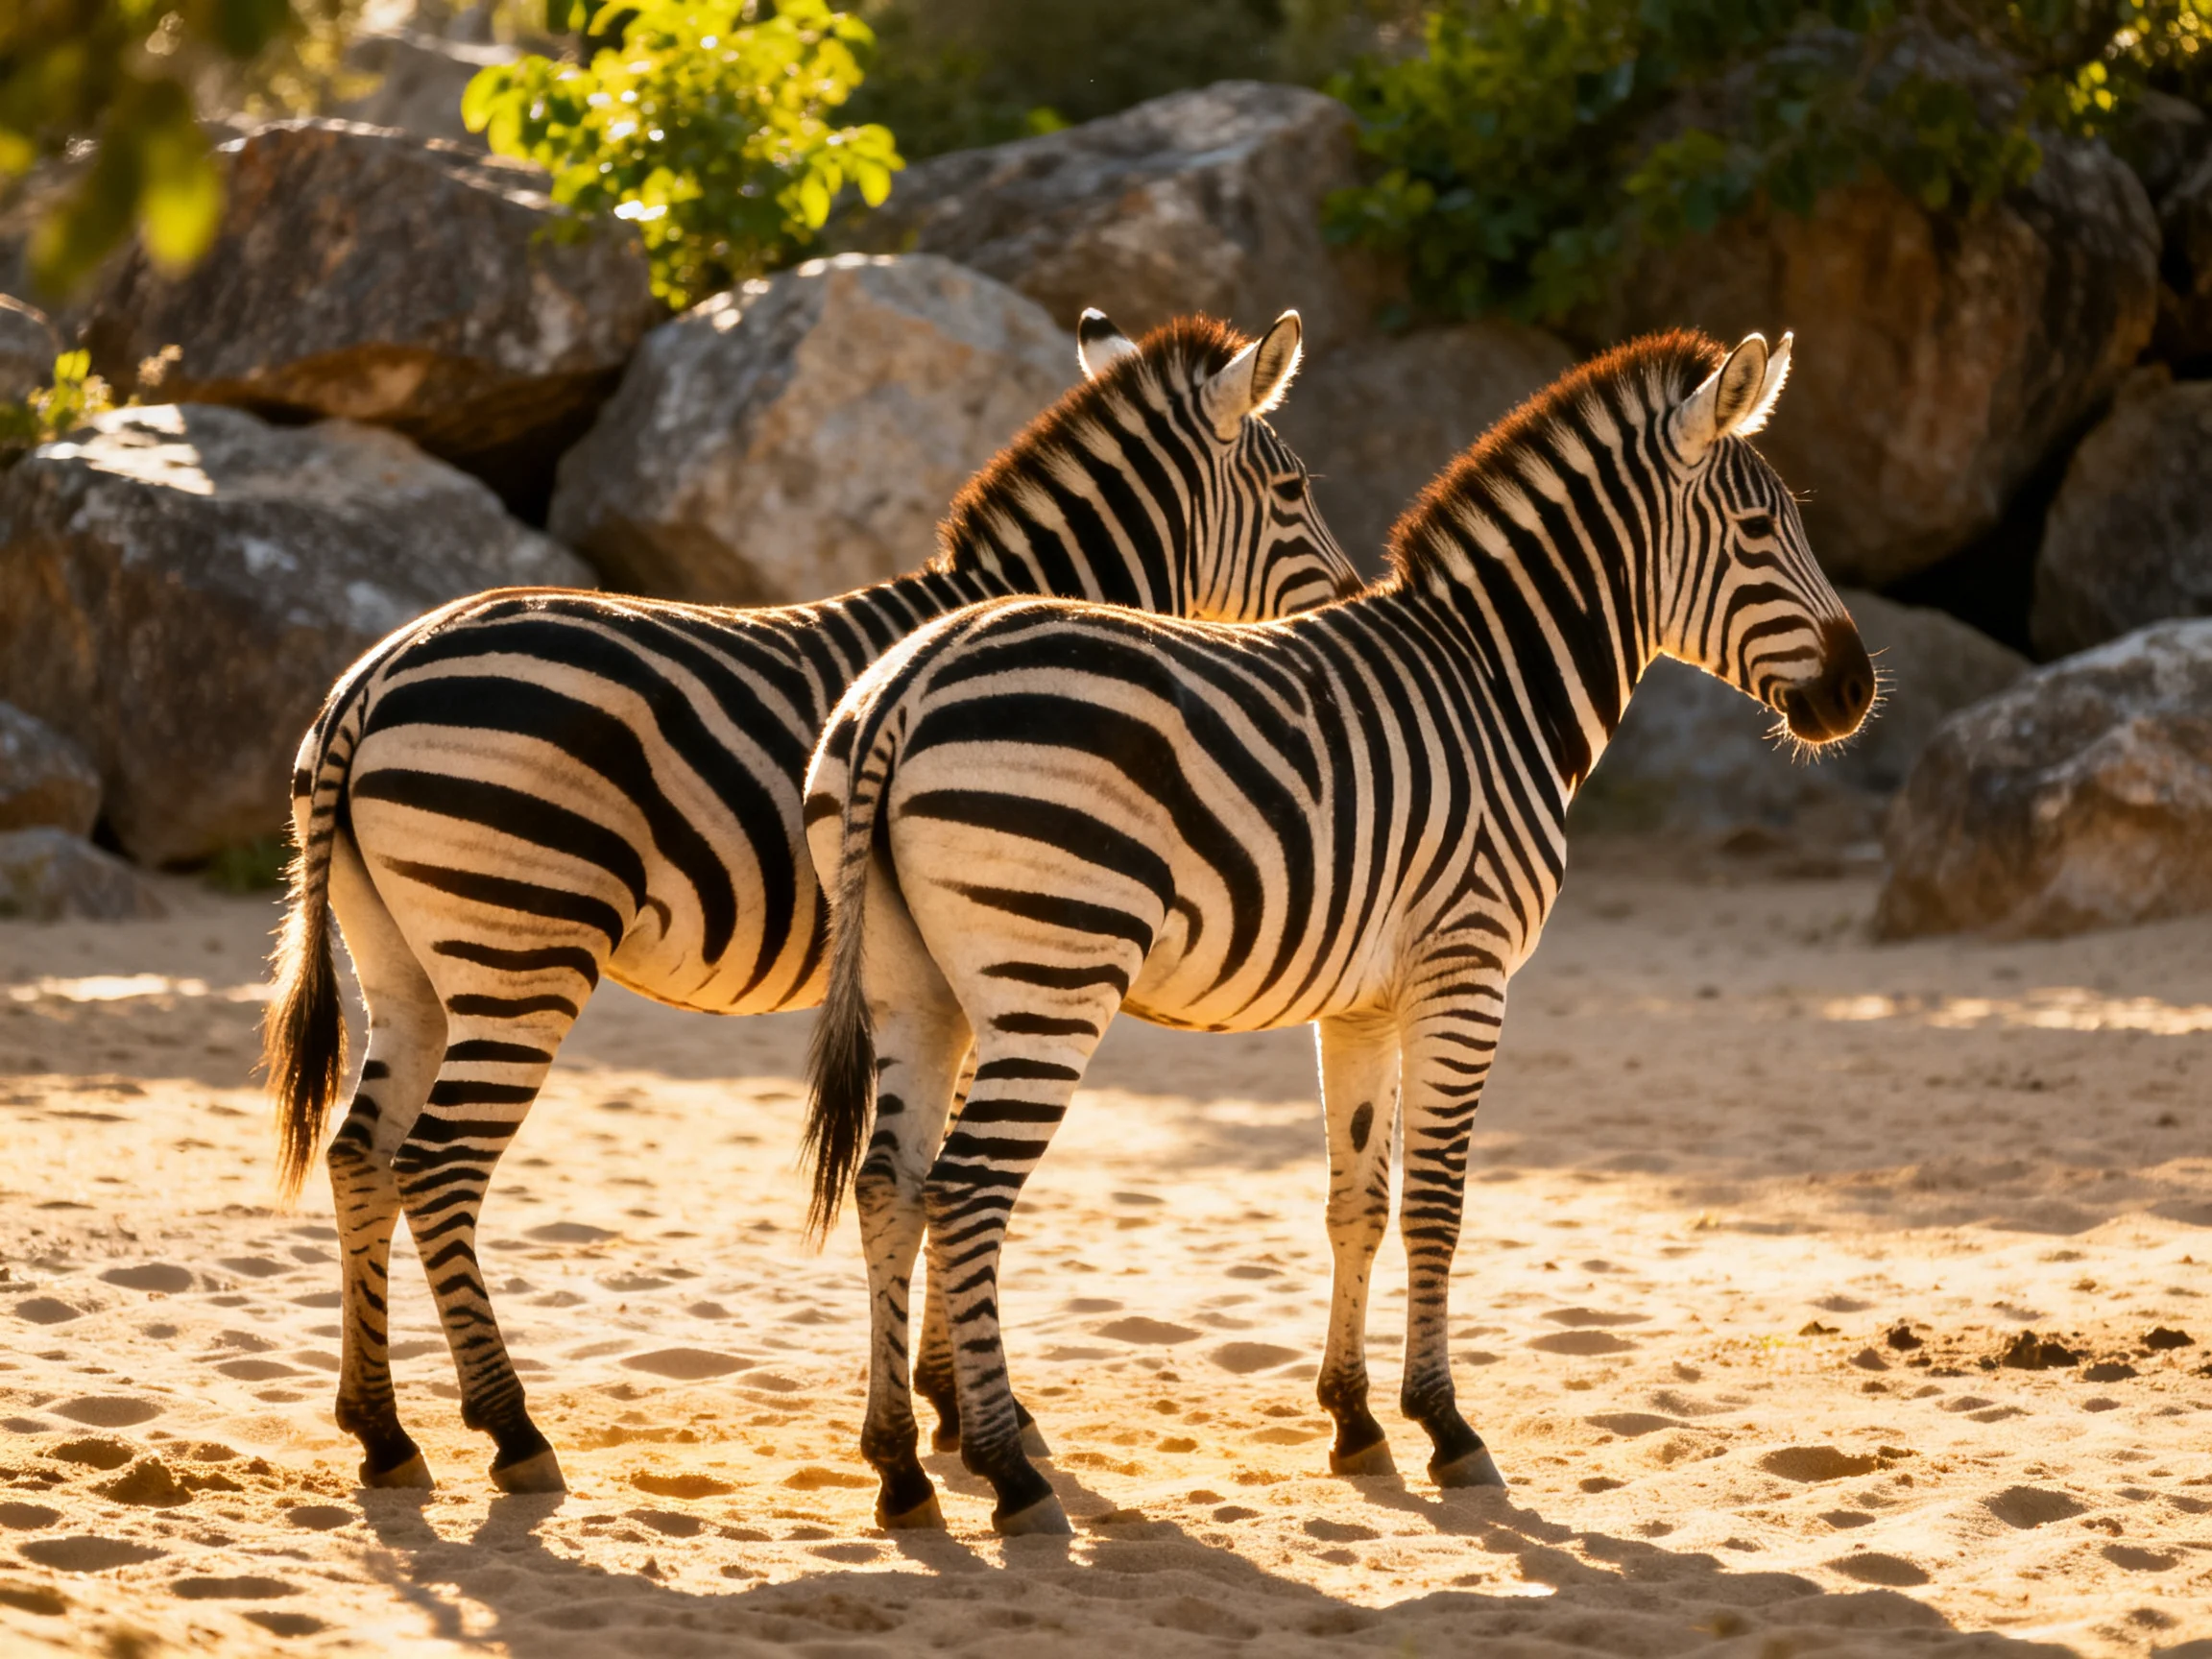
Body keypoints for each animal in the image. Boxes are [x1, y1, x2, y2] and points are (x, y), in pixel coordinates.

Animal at [260, 308, 1357, 1497]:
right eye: (1295, 488)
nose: (1353, 613)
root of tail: (374, 677)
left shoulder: (949, 972)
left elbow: (922, 1170)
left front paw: (943, 1406)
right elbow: (940, 1175)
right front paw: (971, 1414)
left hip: (402, 959)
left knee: (360, 1154)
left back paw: (381, 1429)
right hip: (523, 946)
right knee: (436, 1163)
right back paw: (511, 1428)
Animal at [801, 328, 1877, 1535]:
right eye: (1759, 530)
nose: (1857, 690)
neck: (1498, 685)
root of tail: (907, 681)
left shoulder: (1361, 1002)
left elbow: (1355, 1201)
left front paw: (1356, 1421)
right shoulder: (1467, 971)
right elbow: (1437, 1207)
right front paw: (1447, 1427)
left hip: (915, 987)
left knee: (889, 1187)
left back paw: (899, 1467)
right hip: (1052, 977)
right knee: (967, 1192)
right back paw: (1008, 1470)